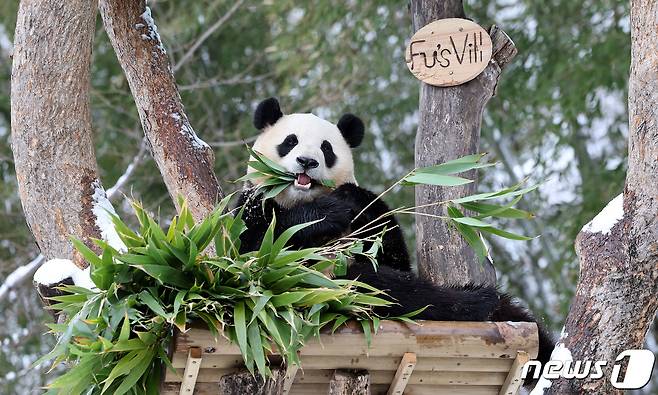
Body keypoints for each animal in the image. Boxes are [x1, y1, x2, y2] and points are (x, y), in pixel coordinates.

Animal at [236, 97, 552, 376]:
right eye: (290, 141)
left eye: (327, 148)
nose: (307, 161)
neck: (299, 198)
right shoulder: (251, 207)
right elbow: (256, 255)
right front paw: (326, 213)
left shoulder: (369, 226)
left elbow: (389, 248)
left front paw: (349, 198)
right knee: (372, 286)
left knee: (399, 287)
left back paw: (479, 302)